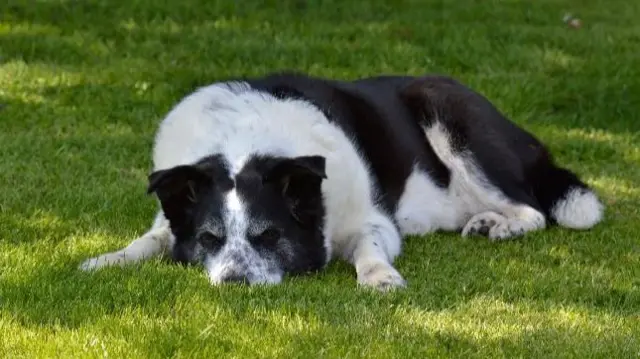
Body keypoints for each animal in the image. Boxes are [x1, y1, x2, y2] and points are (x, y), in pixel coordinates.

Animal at [77, 71, 604, 292]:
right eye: (208, 239)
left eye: (269, 236)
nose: (233, 282)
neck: (246, 139)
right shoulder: (170, 220)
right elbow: (147, 241)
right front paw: (107, 259)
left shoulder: (374, 223)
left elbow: (369, 247)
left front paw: (379, 276)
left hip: (449, 113)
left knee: (533, 208)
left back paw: (504, 224)